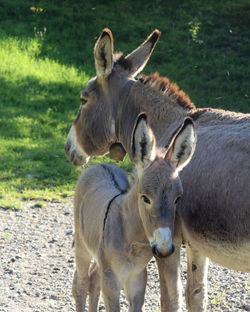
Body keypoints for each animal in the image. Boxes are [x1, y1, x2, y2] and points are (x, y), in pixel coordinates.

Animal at [72, 115, 195, 312]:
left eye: (178, 198)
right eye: (145, 198)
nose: (164, 249)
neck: (131, 239)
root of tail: (100, 165)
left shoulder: (137, 277)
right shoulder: (111, 280)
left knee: (93, 279)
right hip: (82, 246)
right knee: (80, 283)